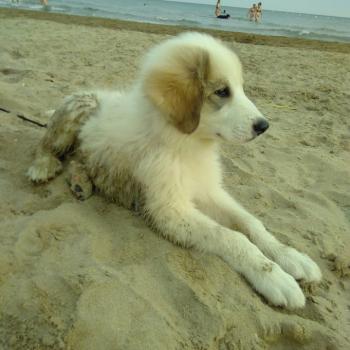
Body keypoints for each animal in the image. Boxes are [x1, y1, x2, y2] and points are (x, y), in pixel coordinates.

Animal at [28, 31, 322, 308]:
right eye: (222, 91)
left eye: (240, 88)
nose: (263, 126)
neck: (186, 144)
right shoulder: (169, 209)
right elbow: (231, 236)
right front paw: (275, 277)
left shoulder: (208, 190)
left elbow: (250, 222)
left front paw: (290, 256)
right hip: (77, 111)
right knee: (45, 144)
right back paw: (43, 167)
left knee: (77, 159)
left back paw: (81, 183)